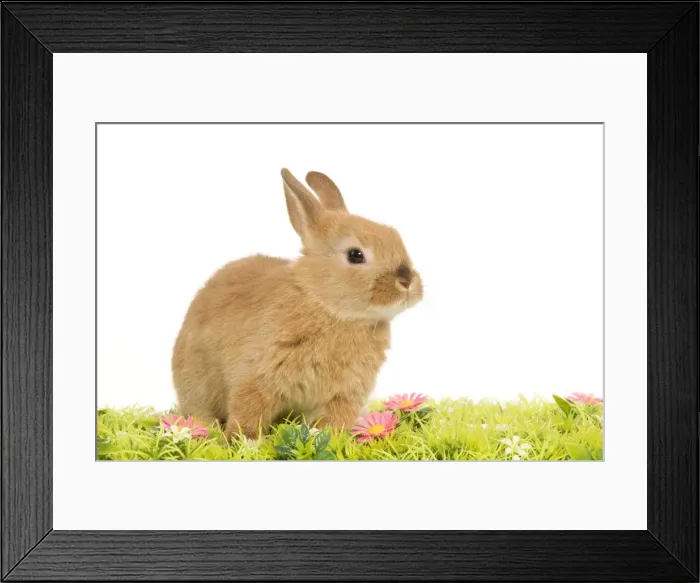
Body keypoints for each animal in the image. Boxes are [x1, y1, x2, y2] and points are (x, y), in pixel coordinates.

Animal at [171, 168, 423, 439]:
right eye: (355, 255)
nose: (407, 281)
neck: (324, 304)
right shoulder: (256, 377)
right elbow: (247, 411)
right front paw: (245, 440)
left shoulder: (343, 395)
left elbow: (334, 424)